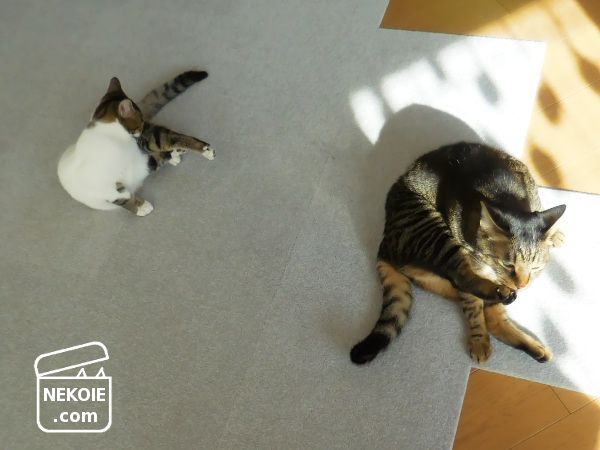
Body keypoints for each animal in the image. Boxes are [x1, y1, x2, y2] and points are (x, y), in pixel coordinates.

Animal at [58, 71, 214, 216]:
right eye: (140, 121)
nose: (143, 127)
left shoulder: (143, 143)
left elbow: (168, 139)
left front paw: (202, 149)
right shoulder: (105, 187)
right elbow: (124, 198)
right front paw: (140, 207)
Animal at [350, 142, 566, 365]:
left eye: (536, 268)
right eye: (508, 264)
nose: (522, 285)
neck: (505, 195)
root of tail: (384, 244)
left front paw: (556, 235)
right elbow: (472, 308)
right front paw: (478, 341)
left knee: (487, 312)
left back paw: (535, 347)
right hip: (435, 234)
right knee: (463, 280)